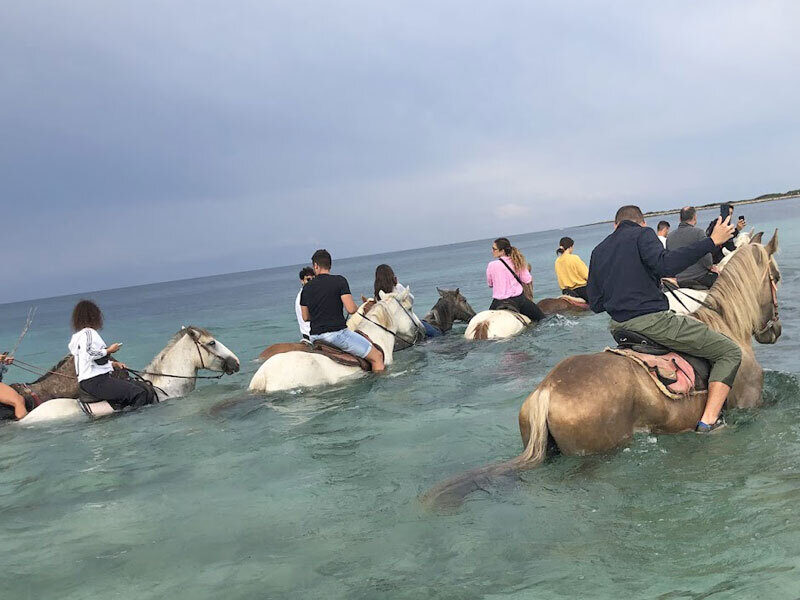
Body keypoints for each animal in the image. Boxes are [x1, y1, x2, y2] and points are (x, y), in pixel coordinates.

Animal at [424, 232, 780, 508]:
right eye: (775, 277)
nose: (773, 331)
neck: (728, 327)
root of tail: (547, 390)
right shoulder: (751, 403)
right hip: (594, 456)